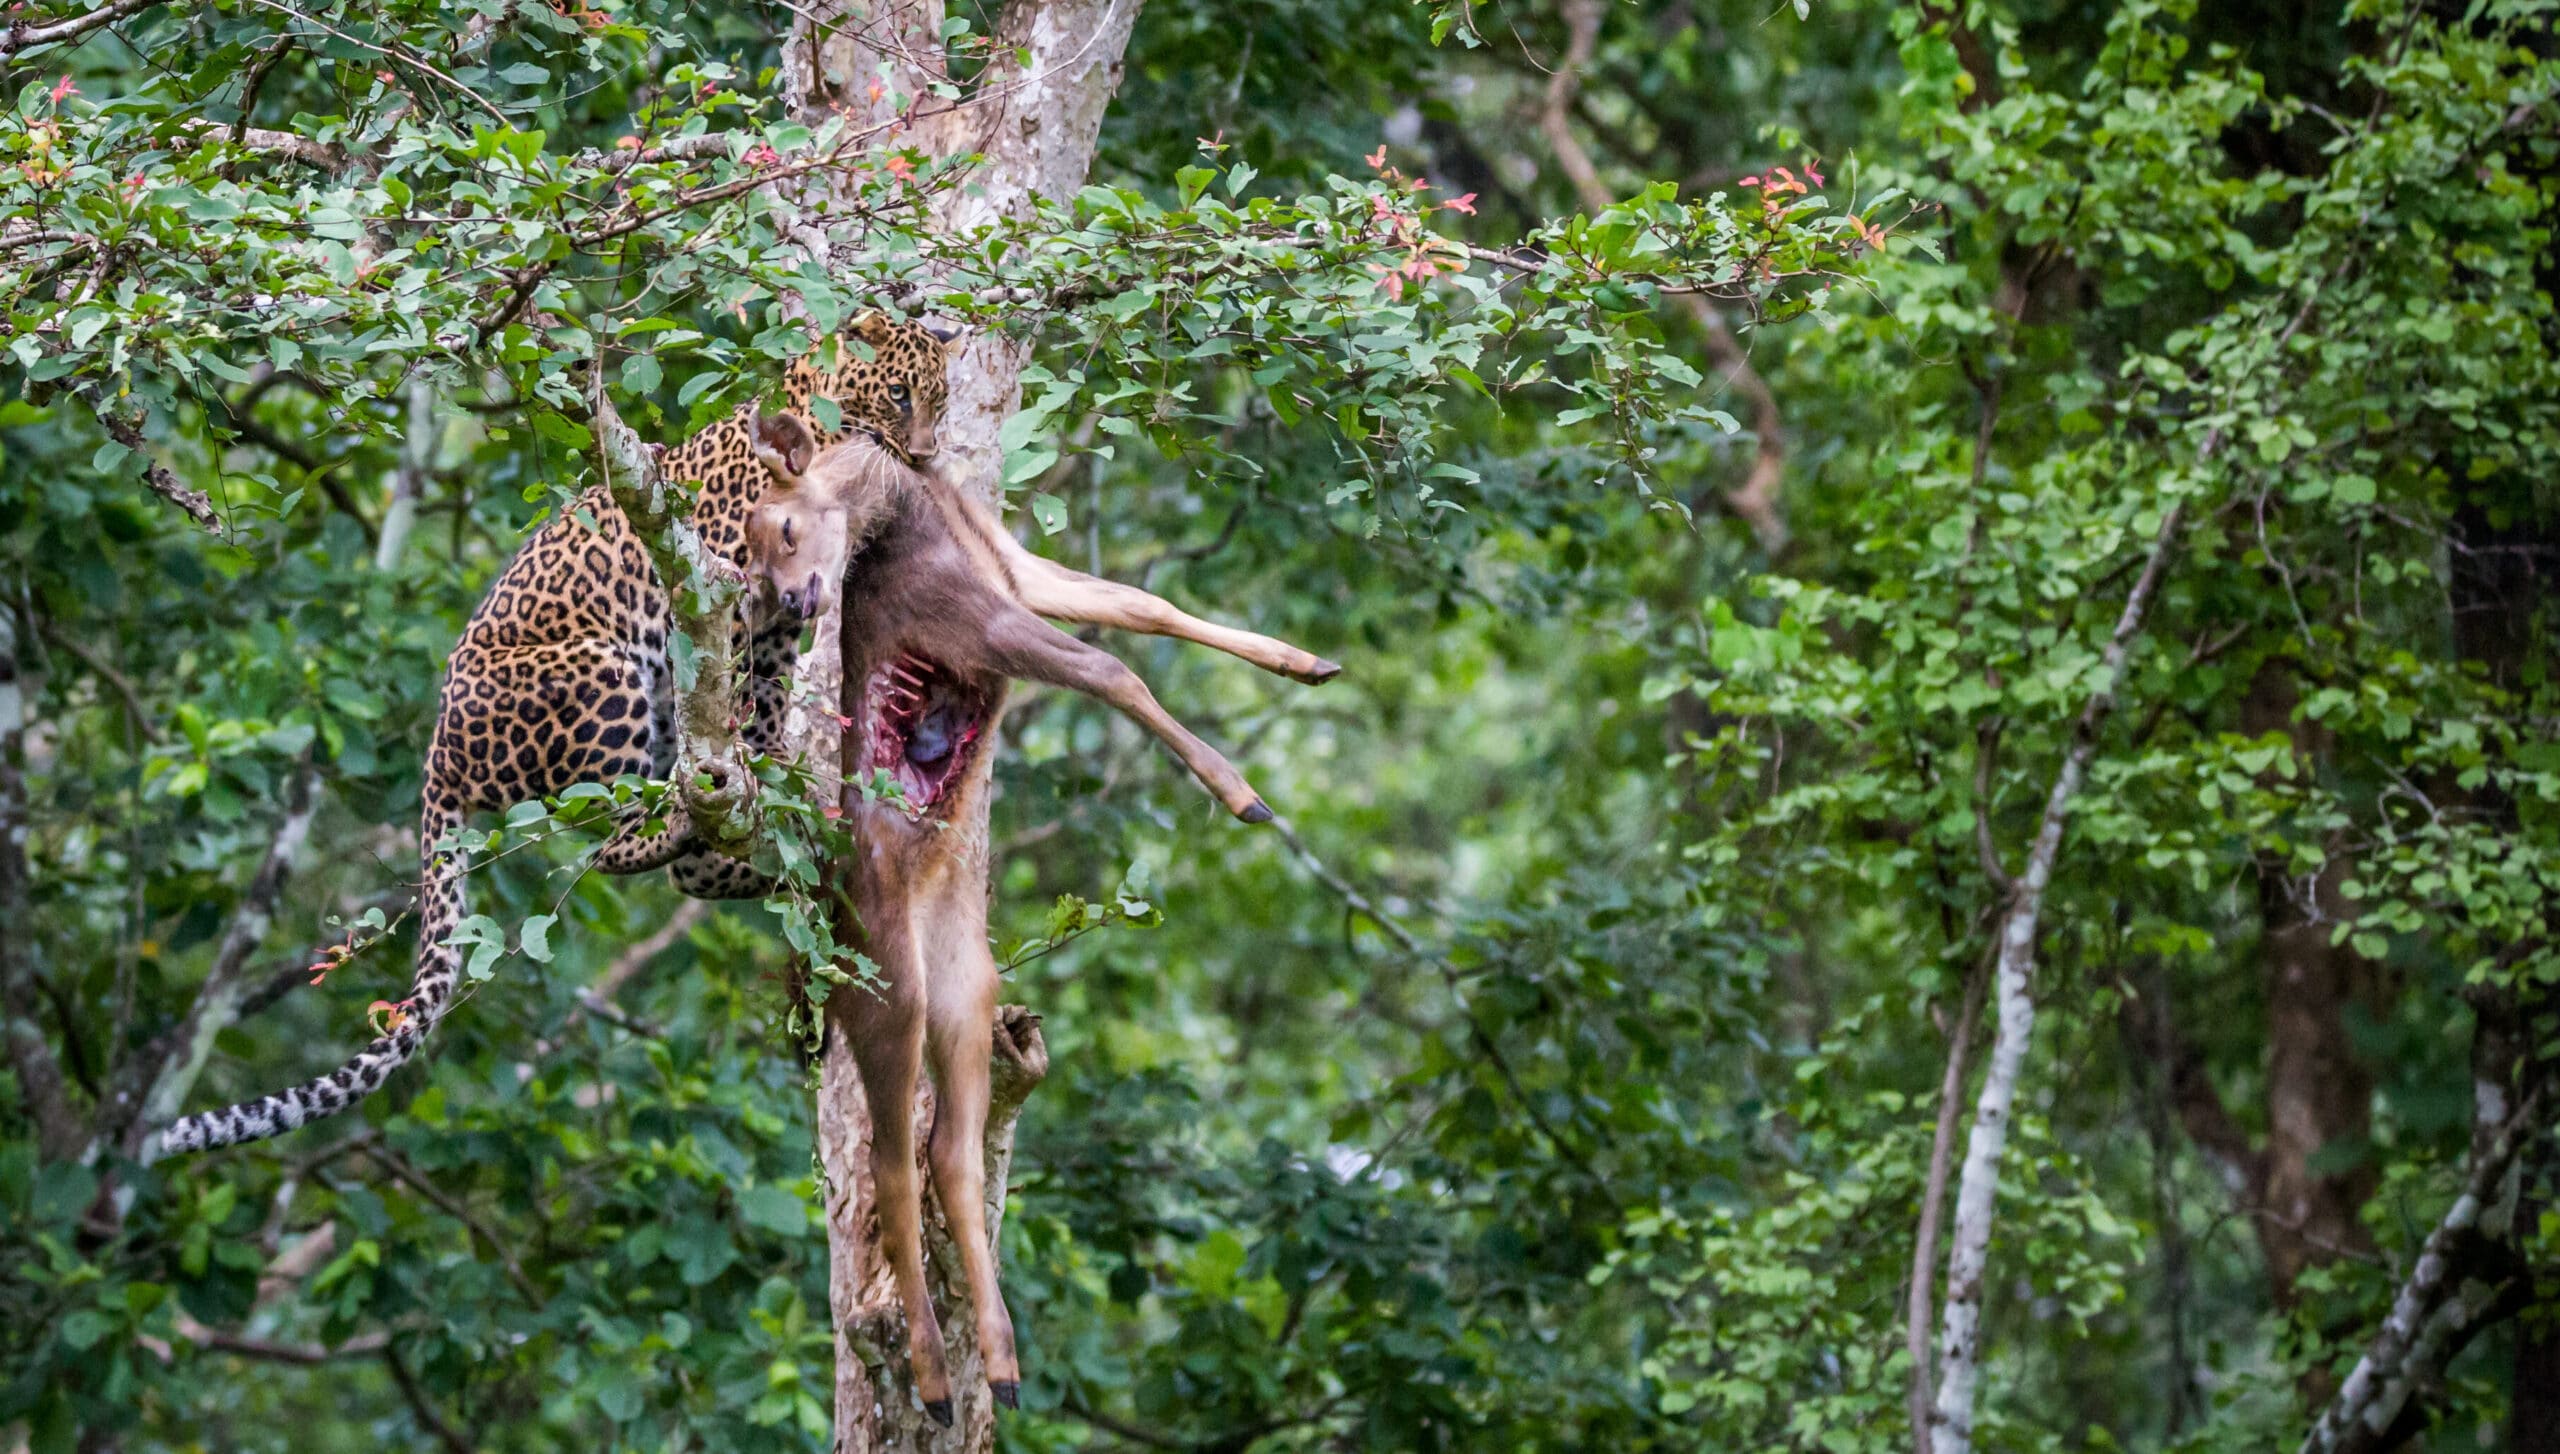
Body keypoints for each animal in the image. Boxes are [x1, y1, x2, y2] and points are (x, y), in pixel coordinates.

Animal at [160, 312, 962, 1151]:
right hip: (599, 670)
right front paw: (756, 762)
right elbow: (736, 686)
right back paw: (685, 824)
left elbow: (767, 700)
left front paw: (774, 769)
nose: (926, 454)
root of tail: (436, 754)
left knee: (684, 864)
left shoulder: (780, 624)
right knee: (613, 840)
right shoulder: (730, 591)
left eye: (942, 401)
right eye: (900, 394)